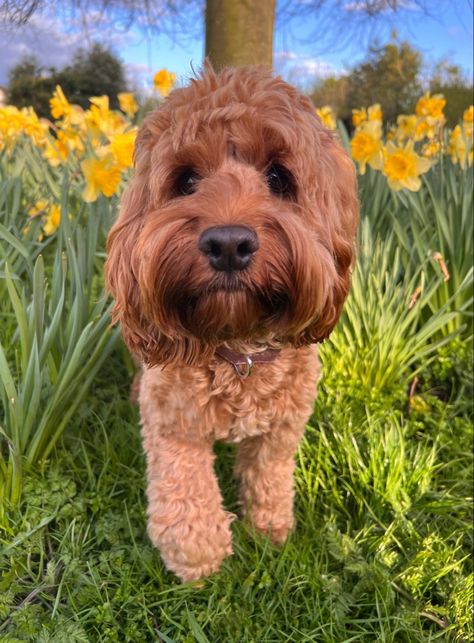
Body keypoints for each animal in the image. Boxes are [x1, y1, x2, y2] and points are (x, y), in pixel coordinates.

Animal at [106, 65, 360, 584]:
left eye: (278, 177)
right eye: (186, 179)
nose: (228, 243)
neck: (237, 348)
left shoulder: (282, 427)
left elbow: (269, 475)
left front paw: (270, 530)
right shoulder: (174, 423)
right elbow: (186, 493)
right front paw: (198, 559)